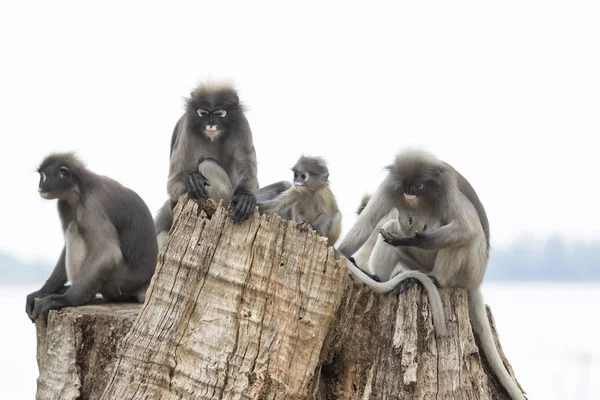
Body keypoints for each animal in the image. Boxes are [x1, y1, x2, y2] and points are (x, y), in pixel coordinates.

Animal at [24, 152, 158, 324]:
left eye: (43, 176)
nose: (40, 185)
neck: (79, 189)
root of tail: (143, 283)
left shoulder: (92, 205)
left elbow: (108, 254)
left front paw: (63, 300)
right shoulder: (64, 203)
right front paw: (42, 292)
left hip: (119, 283)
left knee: (74, 228)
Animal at [154, 81, 258, 247]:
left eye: (219, 114)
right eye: (203, 113)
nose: (210, 124)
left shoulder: (242, 126)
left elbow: (247, 168)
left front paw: (246, 196)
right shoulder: (187, 130)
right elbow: (174, 181)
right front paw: (193, 181)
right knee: (208, 164)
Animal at [340, 149, 528, 400]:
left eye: (419, 186)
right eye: (408, 186)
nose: (410, 195)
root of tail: (476, 283)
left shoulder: (445, 187)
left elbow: (467, 229)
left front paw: (413, 239)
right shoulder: (393, 185)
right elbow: (369, 221)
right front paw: (341, 252)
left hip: (469, 269)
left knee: (468, 236)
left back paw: (435, 279)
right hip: (418, 263)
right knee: (390, 227)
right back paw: (384, 279)